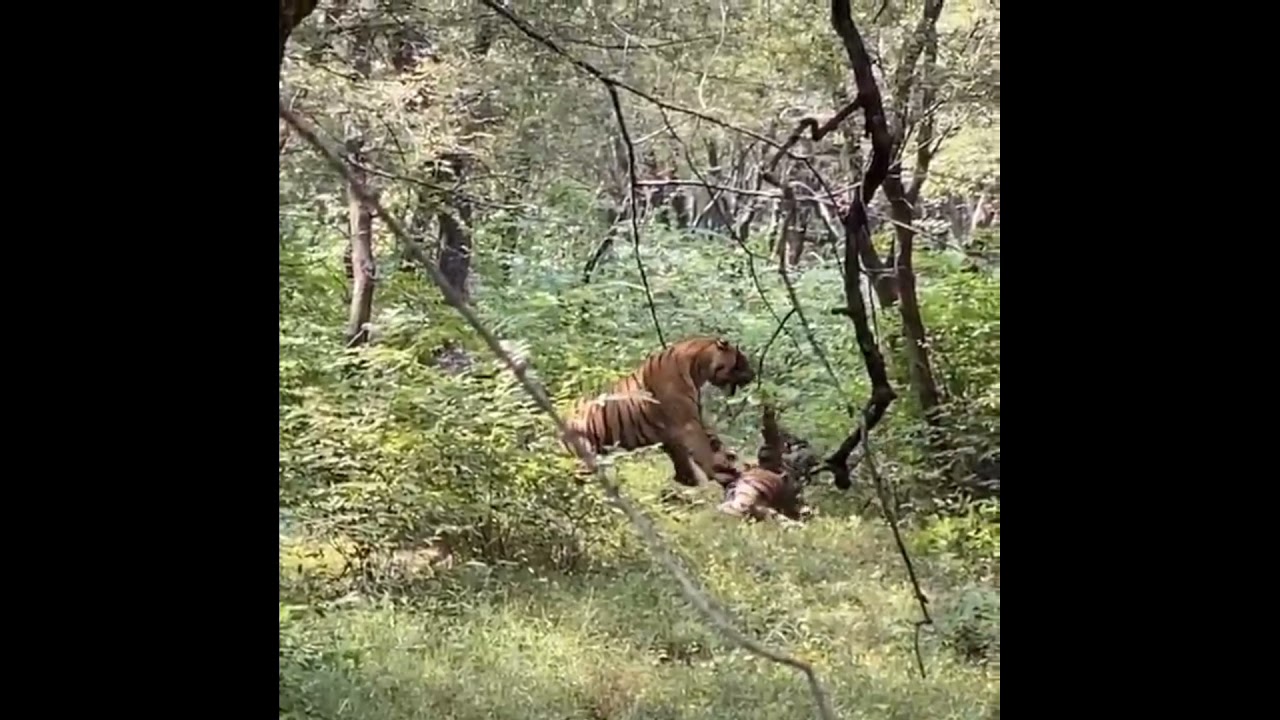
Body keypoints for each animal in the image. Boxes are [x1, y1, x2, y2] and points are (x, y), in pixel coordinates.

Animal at [561, 336, 755, 487]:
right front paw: (719, 473)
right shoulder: (687, 423)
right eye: (741, 360)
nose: (753, 376)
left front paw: (690, 480)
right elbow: (703, 450)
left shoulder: (676, 430)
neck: (697, 368)